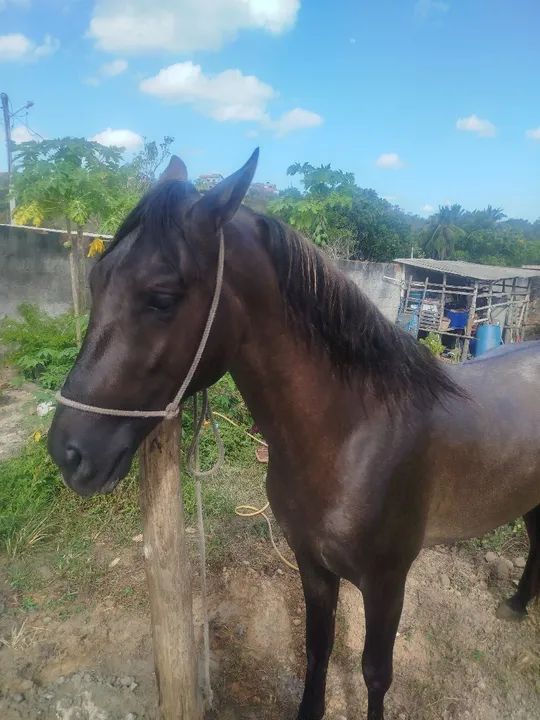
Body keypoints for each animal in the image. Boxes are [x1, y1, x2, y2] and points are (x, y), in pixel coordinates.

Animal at [48, 150, 540, 720]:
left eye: (162, 297)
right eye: (96, 279)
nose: (68, 452)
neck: (351, 435)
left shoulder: (387, 582)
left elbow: (376, 673)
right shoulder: (312, 565)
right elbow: (316, 647)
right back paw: (517, 605)